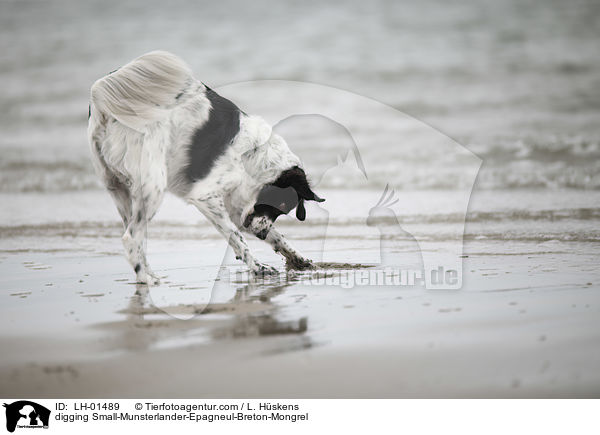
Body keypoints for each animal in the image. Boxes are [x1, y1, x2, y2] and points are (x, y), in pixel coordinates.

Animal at [86, 51, 324, 284]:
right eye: (281, 204)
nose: (261, 235)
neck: (254, 155)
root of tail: (102, 108)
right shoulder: (206, 197)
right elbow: (237, 237)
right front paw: (258, 267)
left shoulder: (239, 209)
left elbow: (278, 237)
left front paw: (301, 261)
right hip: (152, 188)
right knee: (130, 238)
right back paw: (146, 280)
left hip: (122, 191)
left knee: (137, 238)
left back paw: (150, 274)